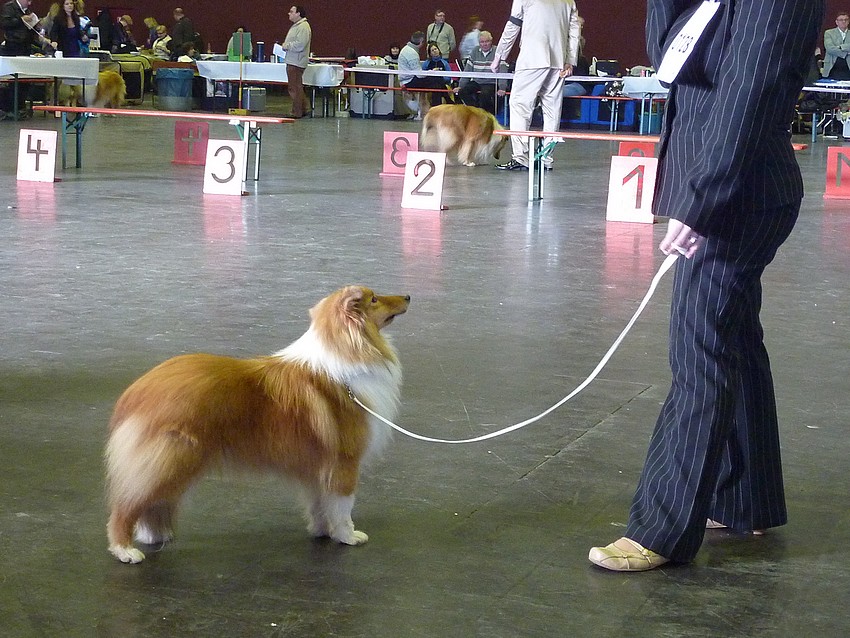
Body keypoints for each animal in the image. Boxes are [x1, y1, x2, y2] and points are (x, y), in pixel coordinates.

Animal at [104, 286, 410, 564]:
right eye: (374, 299)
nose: (407, 297)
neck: (347, 358)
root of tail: (135, 392)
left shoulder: (317, 466)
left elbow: (319, 503)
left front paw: (324, 531)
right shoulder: (344, 462)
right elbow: (343, 506)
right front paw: (348, 536)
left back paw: (154, 535)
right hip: (172, 459)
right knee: (126, 505)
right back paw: (125, 550)